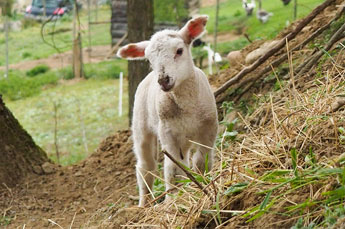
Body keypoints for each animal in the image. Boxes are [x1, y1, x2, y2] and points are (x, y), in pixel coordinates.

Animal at [117, 15, 216, 207]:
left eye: (179, 51)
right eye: (149, 60)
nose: (163, 80)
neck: (187, 107)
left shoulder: (208, 129)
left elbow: (201, 161)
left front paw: (205, 182)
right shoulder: (168, 133)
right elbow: (172, 170)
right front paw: (173, 199)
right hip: (141, 126)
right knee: (145, 167)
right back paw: (144, 203)